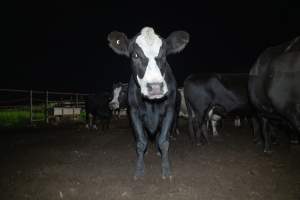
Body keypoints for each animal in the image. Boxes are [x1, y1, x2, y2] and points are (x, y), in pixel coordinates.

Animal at [106, 27, 189, 180]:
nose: (155, 87)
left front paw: (166, 170)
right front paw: (139, 170)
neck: (152, 105)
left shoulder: (169, 111)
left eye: (164, 55)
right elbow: (141, 142)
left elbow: (164, 141)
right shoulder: (133, 112)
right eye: (135, 55)